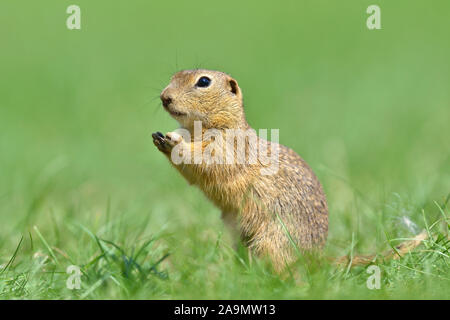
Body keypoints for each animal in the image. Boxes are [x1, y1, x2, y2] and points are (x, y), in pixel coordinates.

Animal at [153, 69, 428, 272]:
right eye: (173, 76)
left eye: (203, 81)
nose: (164, 97)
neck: (200, 128)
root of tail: (314, 257)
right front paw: (160, 138)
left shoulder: (228, 146)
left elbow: (208, 160)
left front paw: (175, 142)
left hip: (272, 240)